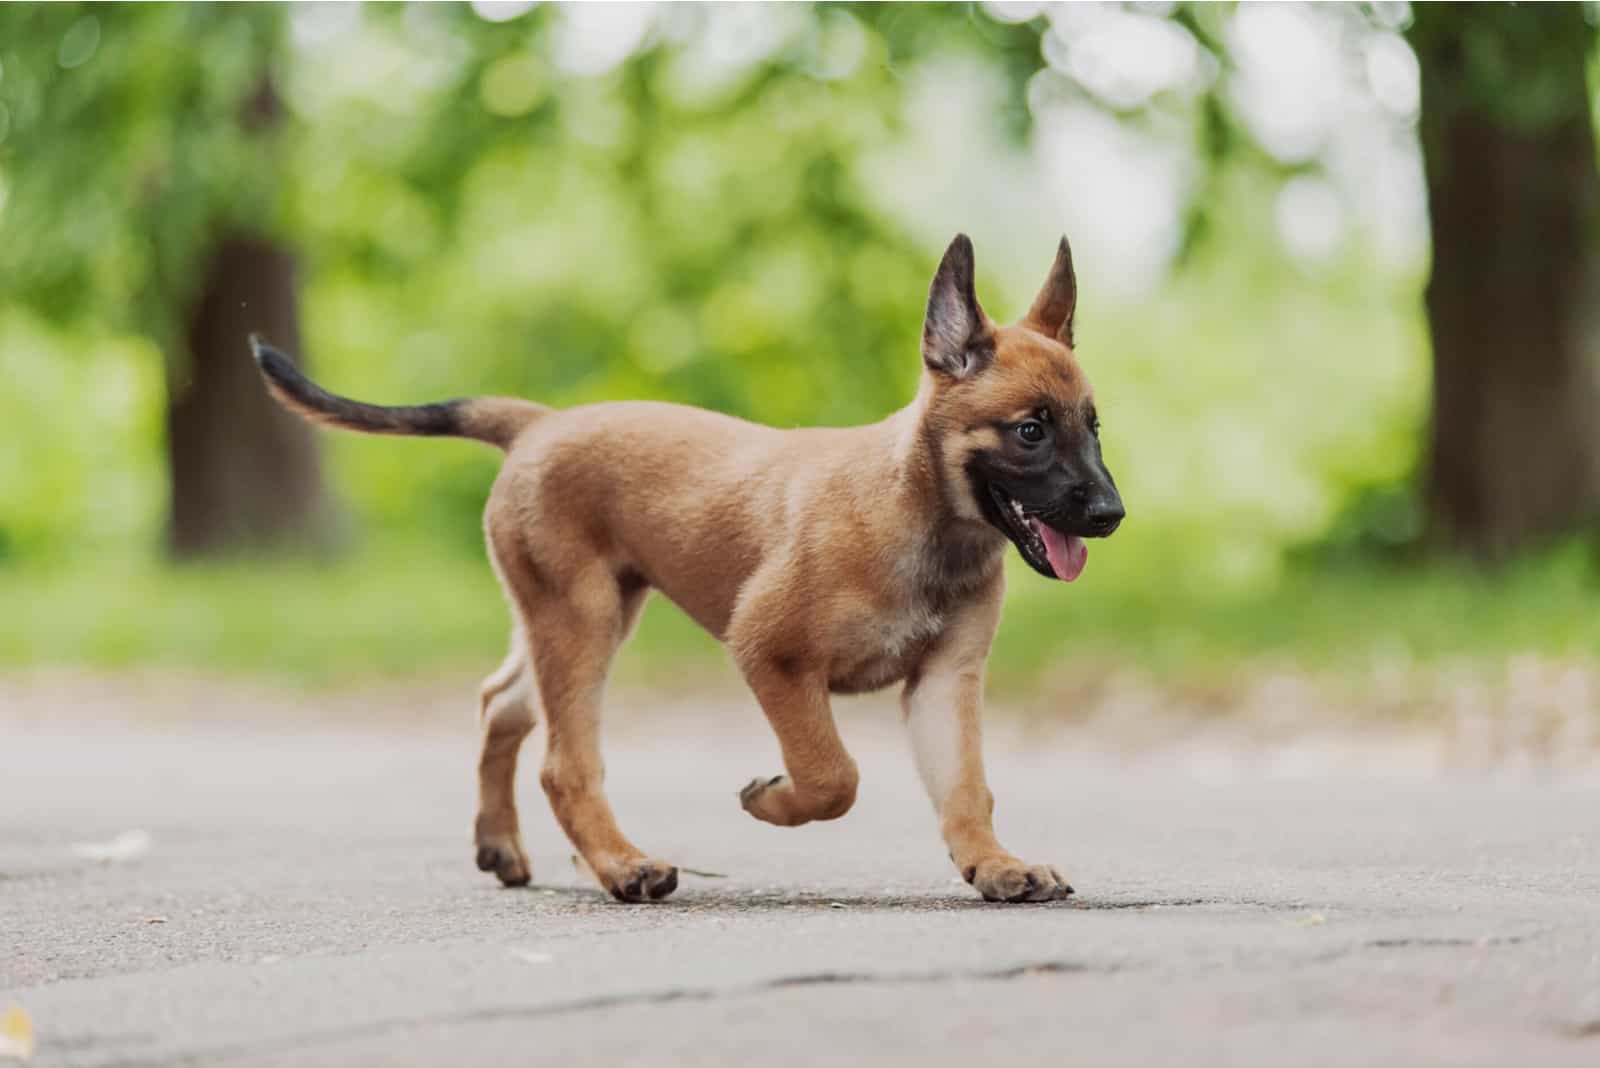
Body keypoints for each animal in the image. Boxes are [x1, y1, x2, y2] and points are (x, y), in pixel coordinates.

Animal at [252, 233, 1126, 901]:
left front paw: (994, 863)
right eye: (1030, 431)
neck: (918, 511)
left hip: (576, 620)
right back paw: (620, 865)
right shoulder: (771, 654)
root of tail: (538, 424)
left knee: (501, 704)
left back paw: (506, 847)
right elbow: (833, 775)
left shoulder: (945, 682)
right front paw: (773, 801)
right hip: (582, 622)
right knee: (564, 763)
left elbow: (966, 787)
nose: (1110, 514)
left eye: (1092, 427)